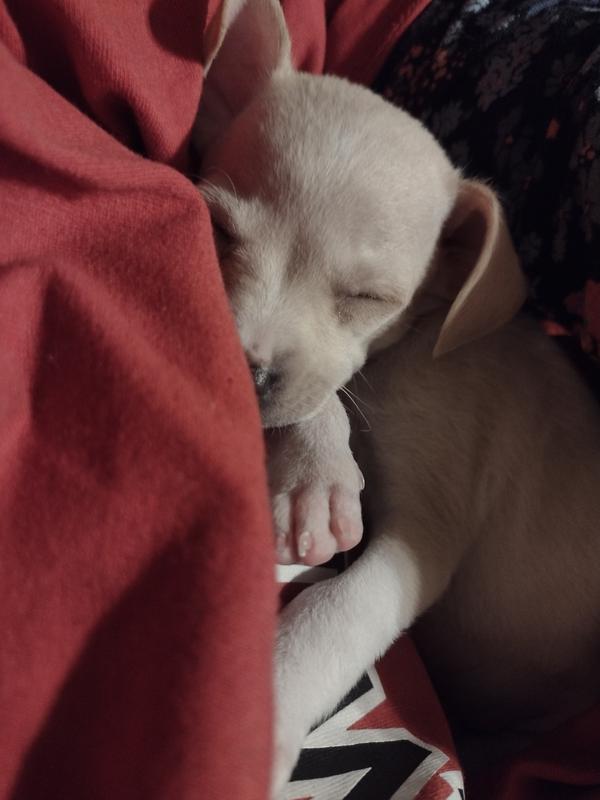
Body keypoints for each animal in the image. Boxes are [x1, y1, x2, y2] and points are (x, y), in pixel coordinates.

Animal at [195, 0, 600, 792]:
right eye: (218, 228)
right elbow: (325, 394)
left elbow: (335, 610)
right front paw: (316, 479)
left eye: (369, 297)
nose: (245, 374)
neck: (415, 348)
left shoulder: (423, 536)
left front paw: (266, 709)